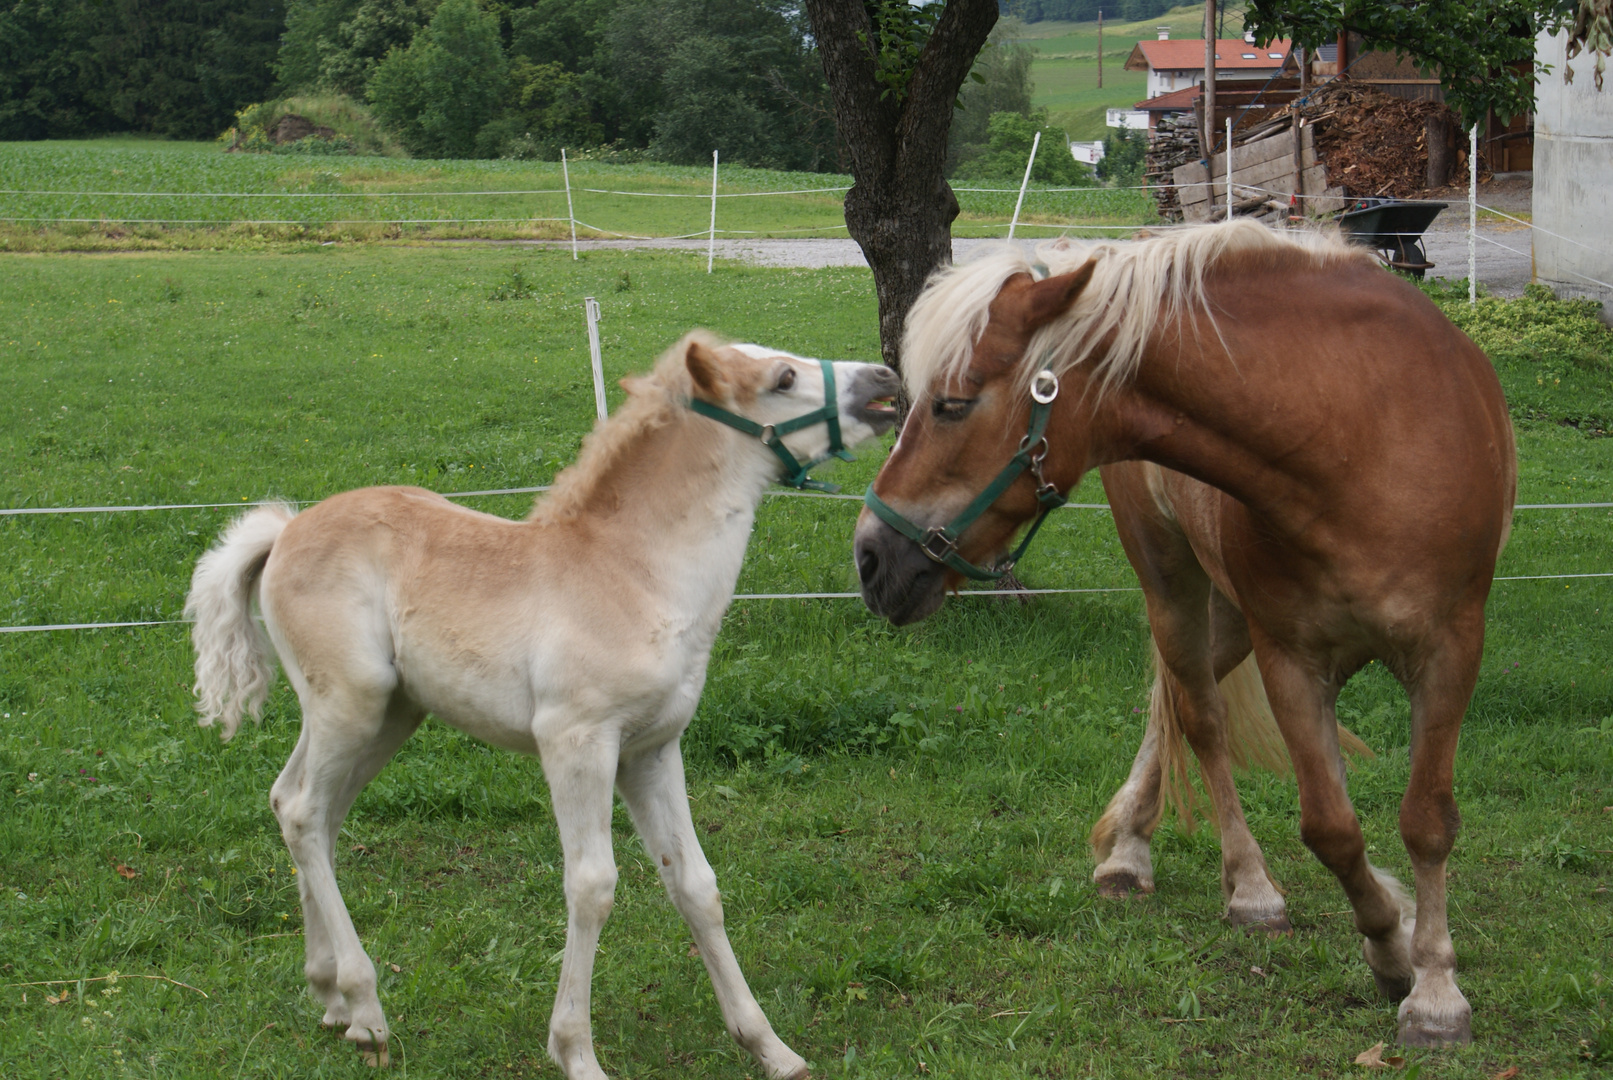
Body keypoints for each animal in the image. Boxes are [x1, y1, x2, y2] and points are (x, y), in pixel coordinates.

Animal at [187, 333, 903, 1076]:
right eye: (783, 378)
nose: (884, 379)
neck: (634, 576)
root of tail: (285, 530)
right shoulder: (576, 742)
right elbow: (591, 885)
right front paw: (576, 1052)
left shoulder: (652, 748)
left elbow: (696, 884)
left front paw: (771, 1047)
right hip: (351, 705)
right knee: (303, 812)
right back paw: (367, 1009)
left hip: (386, 714)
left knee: (305, 809)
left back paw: (333, 1000)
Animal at [858, 222, 1509, 1050]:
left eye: (950, 404)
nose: (871, 558)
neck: (1354, 435)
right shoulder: (1290, 657)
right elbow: (1329, 826)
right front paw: (1389, 946)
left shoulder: (1450, 651)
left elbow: (1425, 821)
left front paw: (1433, 991)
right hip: (1175, 586)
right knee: (1193, 712)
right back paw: (1226, 881)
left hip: (1225, 618)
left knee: (1169, 699)